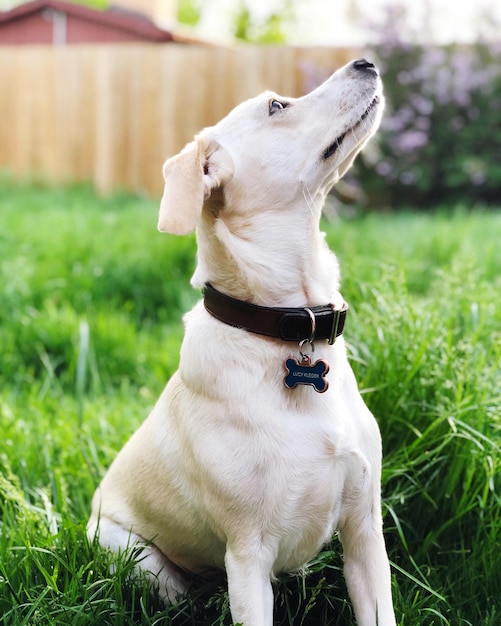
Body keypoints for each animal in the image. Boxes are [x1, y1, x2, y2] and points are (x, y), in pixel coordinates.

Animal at [88, 58, 396, 624]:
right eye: (277, 106)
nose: (365, 62)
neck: (283, 326)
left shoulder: (365, 532)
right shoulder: (248, 555)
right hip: (141, 560)